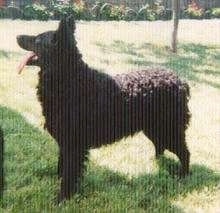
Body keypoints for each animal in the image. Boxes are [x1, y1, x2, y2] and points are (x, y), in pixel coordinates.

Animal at [16, 16, 191, 201]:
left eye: (37, 40)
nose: (17, 36)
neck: (72, 81)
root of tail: (180, 81)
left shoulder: (73, 145)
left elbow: (69, 174)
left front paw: (63, 198)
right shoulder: (65, 142)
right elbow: (61, 167)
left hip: (169, 128)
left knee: (184, 153)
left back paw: (183, 176)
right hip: (154, 127)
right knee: (160, 146)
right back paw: (156, 163)